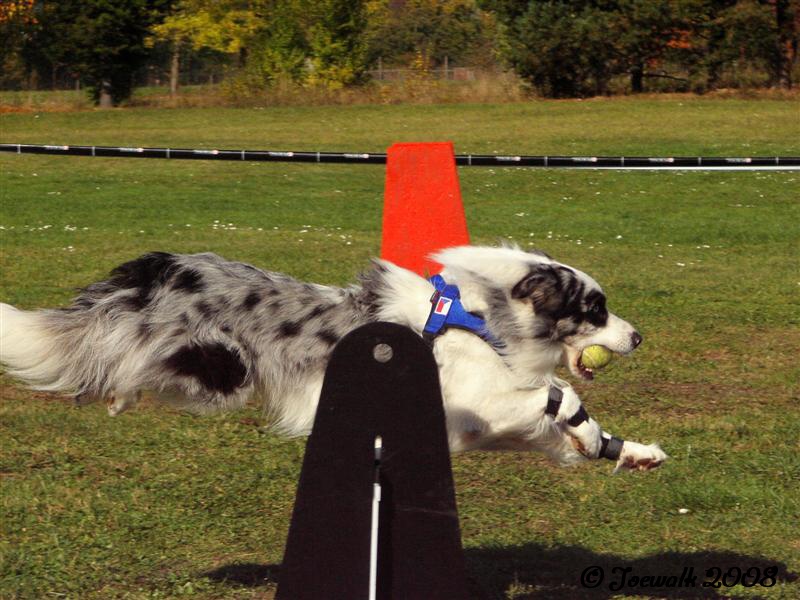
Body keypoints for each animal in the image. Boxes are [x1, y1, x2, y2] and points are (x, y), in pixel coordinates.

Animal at [0, 246, 668, 472]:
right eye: (596, 308)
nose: (639, 337)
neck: (486, 321)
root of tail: (151, 269)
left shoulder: (475, 428)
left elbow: (559, 424)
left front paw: (626, 451)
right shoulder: (471, 403)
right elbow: (560, 394)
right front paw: (586, 429)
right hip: (222, 369)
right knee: (120, 360)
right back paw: (115, 390)